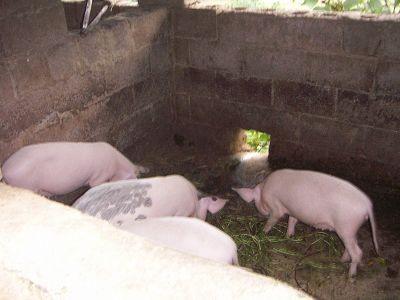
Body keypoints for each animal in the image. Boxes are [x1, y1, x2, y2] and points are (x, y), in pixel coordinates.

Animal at [0, 142, 148, 197]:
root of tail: (5, 170)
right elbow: (95, 184)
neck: (117, 164)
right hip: (24, 185)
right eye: (132, 179)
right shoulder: (100, 174)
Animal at [231, 168, 378, 278]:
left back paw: (351, 276)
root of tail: (367, 204)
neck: (263, 191)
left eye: (255, 203)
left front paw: (262, 232)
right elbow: (292, 220)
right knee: (351, 246)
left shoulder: (276, 207)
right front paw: (288, 236)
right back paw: (342, 260)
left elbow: (273, 219)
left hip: (346, 226)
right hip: (350, 230)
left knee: (358, 252)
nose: (260, 212)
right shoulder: (293, 210)